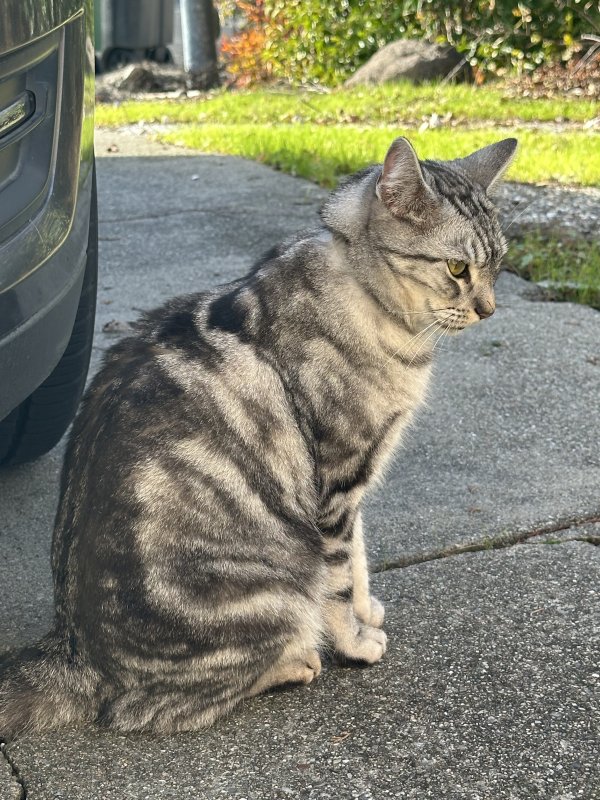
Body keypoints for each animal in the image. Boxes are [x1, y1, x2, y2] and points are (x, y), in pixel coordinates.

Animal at [0, 133, 516, 736]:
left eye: (498, 266)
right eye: (457, 268)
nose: (489, 310)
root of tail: (74, 651)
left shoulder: (353, 486)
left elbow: (361, 558)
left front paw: (367, 609)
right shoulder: (338, 479)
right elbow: (339, 578)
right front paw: (355, 640)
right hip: (276, 585)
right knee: (155, 707)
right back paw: (297, 661)